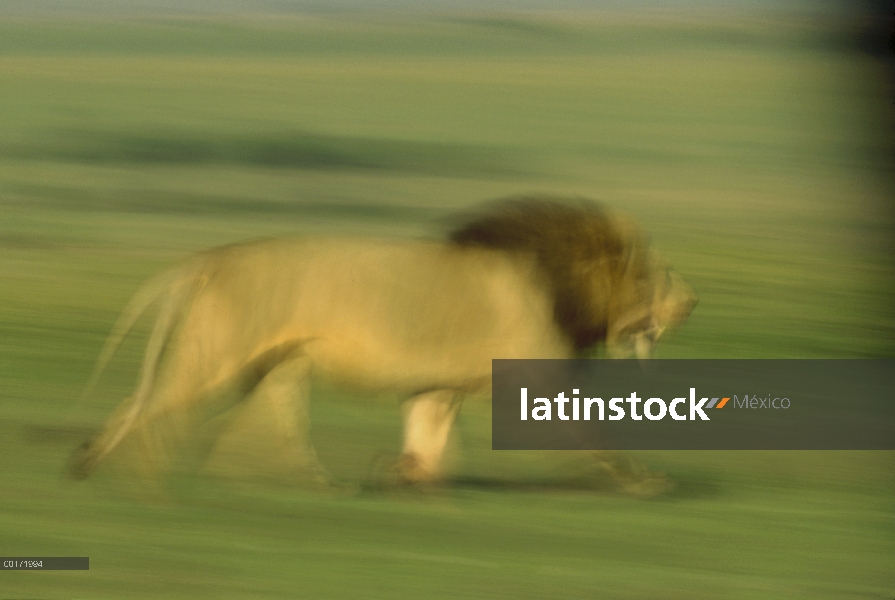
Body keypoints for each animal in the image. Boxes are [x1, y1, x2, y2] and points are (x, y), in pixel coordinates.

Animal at [68, 197, 700, 492]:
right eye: (657, 275)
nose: (693, 301)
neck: (562, 284)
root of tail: (205, 260)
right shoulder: (537, 375)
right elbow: (595, 438)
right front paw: (649, 484)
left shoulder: (438, 385)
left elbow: (429, 438)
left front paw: (404, 475)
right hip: (217, 356)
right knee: (145, 408)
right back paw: (130, 479)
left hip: (274, 365)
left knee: (267, 422)